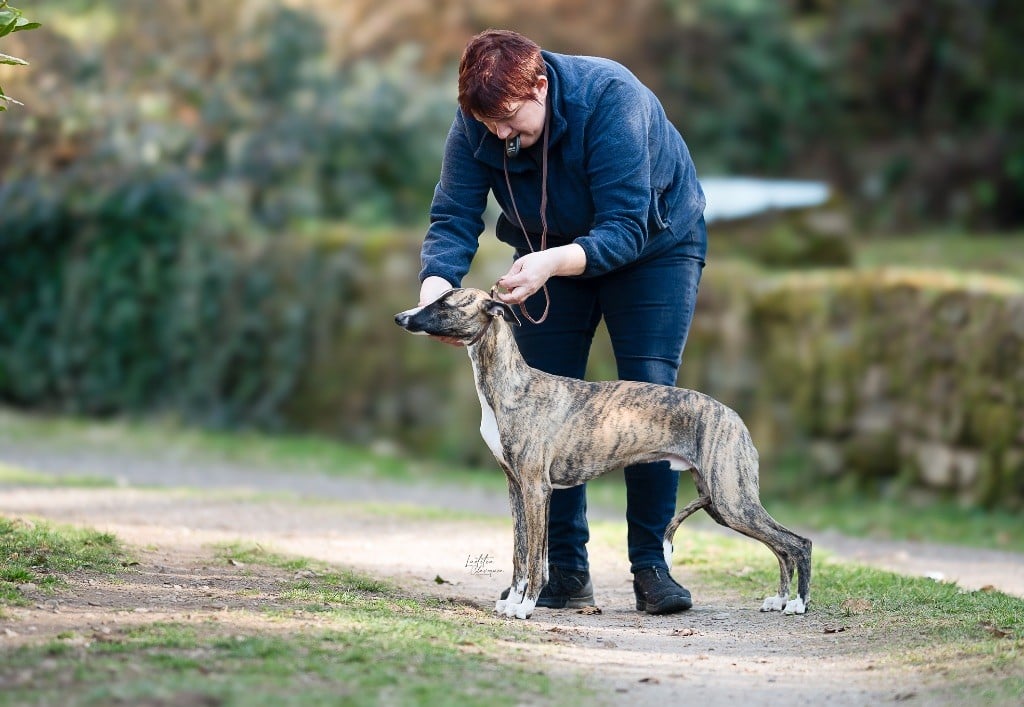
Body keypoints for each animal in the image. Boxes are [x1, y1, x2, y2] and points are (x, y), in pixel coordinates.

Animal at [395, 286, 811, 614]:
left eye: (446, 305)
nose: (401, 318)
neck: (511, 386)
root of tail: (735, 417)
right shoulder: (515, 487)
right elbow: (519, 554)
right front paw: (512, 601)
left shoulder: (536, 489)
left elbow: (537, 558)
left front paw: (526, 607)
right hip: (723, 503)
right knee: (780, 547)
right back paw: (779, 599)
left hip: (731, 499)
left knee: (798, 543)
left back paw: (798, 603)